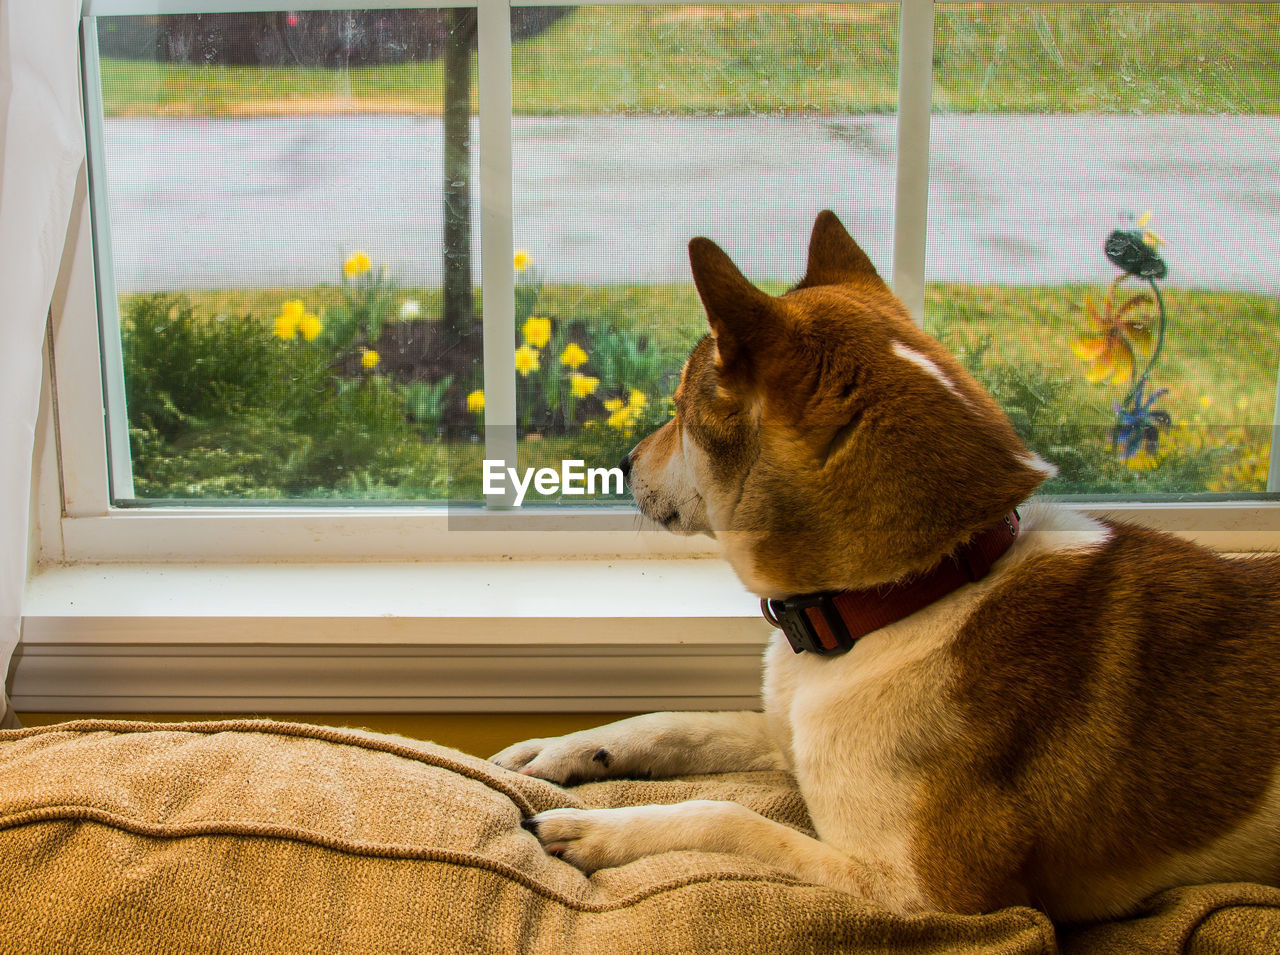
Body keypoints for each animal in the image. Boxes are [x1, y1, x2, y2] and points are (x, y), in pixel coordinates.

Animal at [488, 212, 1280, 916]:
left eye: (681, 410)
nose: (622, 463)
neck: (909, 594)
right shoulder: (790, 736)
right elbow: (671, 722)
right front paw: (559, 752)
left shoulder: (926, 890)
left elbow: (728, 817)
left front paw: (596, 828)